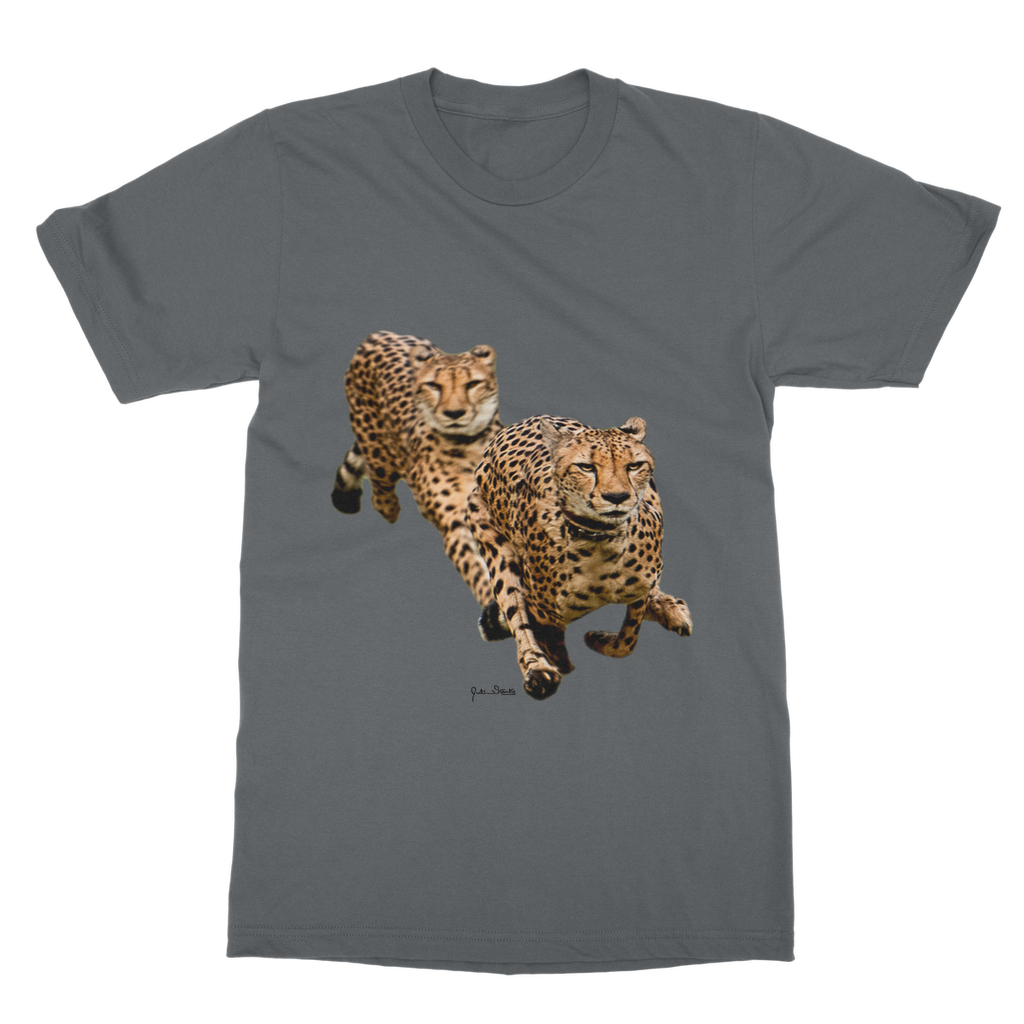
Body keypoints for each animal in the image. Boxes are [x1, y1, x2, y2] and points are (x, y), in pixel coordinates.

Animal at [332, 330, 503, 609]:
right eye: (434, 386)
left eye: (472, 384)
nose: (454, 413)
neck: (469, 445)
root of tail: (378, 334)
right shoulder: (455, 525)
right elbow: (477, 570)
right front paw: (492, 604)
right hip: (378, 453)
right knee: (380, 490)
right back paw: (389, 508)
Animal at [466, 414, 693, 700]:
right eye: (586, 467)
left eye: (634, 466)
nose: (617, 497)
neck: (600, 540)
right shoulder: (544, 613)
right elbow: (548, 639)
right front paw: (555, 663)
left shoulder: (641, 585)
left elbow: (627, 639)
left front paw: (599, 639)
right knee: (515, 610)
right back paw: (538, 670)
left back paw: (670, 608)